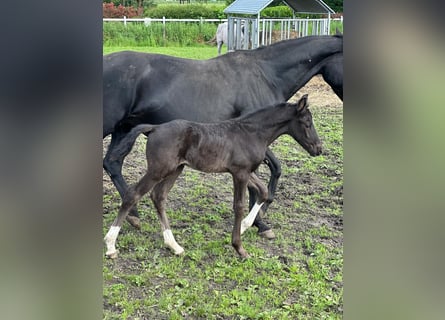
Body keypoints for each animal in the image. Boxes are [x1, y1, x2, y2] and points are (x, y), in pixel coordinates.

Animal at [103, 95, 320, 260]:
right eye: (307, 123)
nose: (319, 148)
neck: (251, 133)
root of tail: (154, 128)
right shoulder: (240, 173)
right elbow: (239, 206)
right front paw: (239, 248)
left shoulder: (245, 171)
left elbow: (264, 191)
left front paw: (245, 227)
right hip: (158, 169)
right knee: (133, 194)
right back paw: (111, 245)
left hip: (176, 169)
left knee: (158, 196)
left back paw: (174, 245)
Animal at [104, 34, 344, 238]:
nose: (318, 148)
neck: (266, 75)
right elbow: (271, 171)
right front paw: (259, 220)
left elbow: (270, 172)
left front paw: (258, 219)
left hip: (122, 129)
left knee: (112, 163)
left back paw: (134, 215)